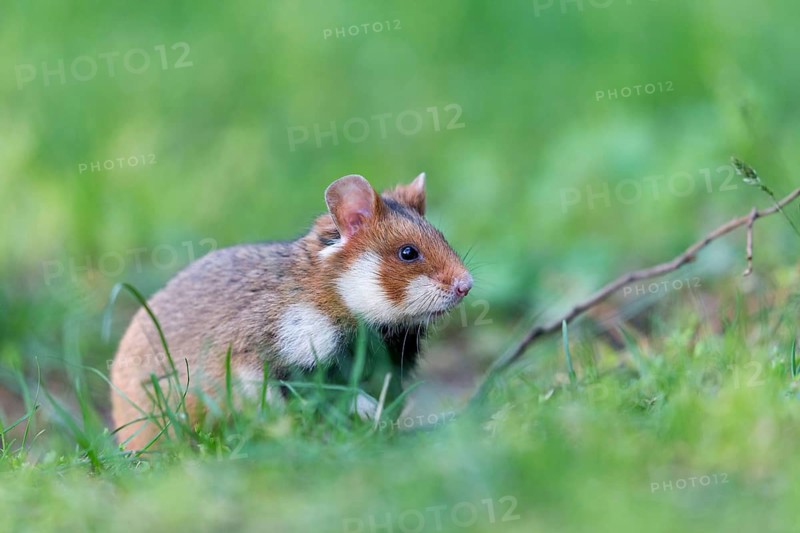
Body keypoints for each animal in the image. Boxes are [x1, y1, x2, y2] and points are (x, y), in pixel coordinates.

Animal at [110, 173, 473, 449]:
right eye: (408, 252)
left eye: (442, 237)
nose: (466, 286)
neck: (337, 298)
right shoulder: (269, 364)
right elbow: (334, 397)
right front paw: (368, 415)